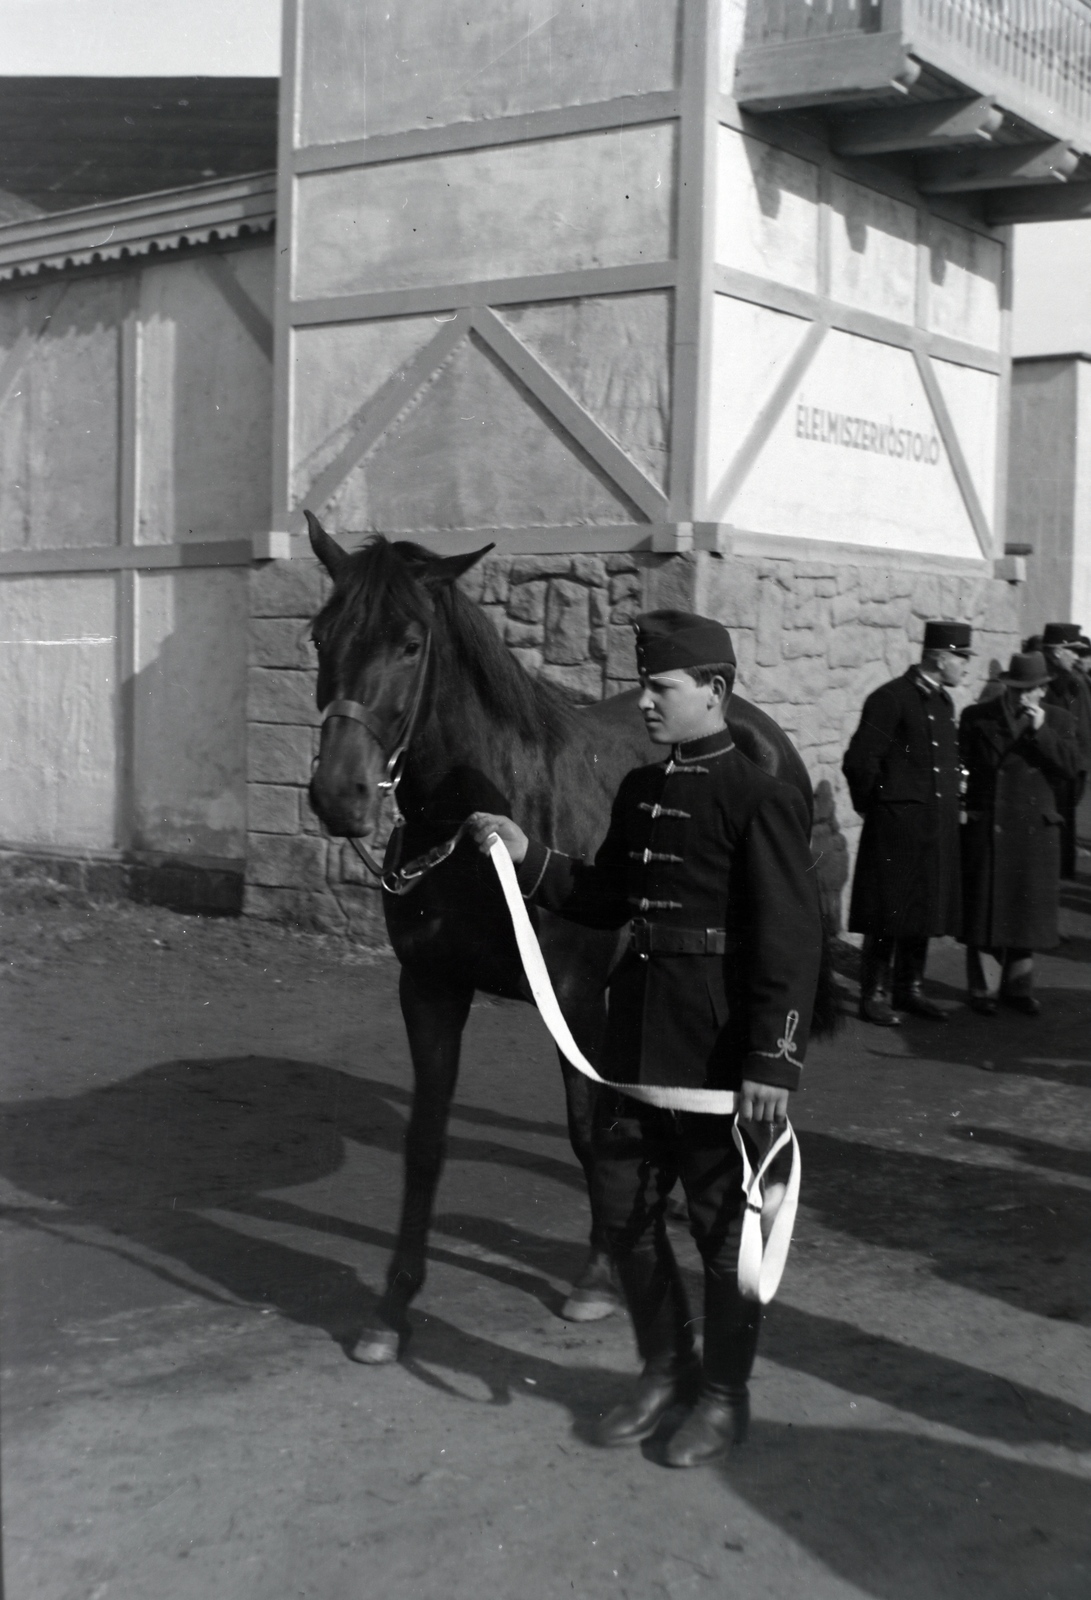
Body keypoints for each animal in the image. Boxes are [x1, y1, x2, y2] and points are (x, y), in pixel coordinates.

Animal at [302, 515, 819, 1363]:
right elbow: (426, 1142)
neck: (481, 816)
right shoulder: (430, 990)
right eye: (322, 634)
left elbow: (586, 1132)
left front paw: (597, 1279)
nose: (338, 796)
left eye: (410, 643)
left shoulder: (572, 999)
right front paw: (391, 1309)